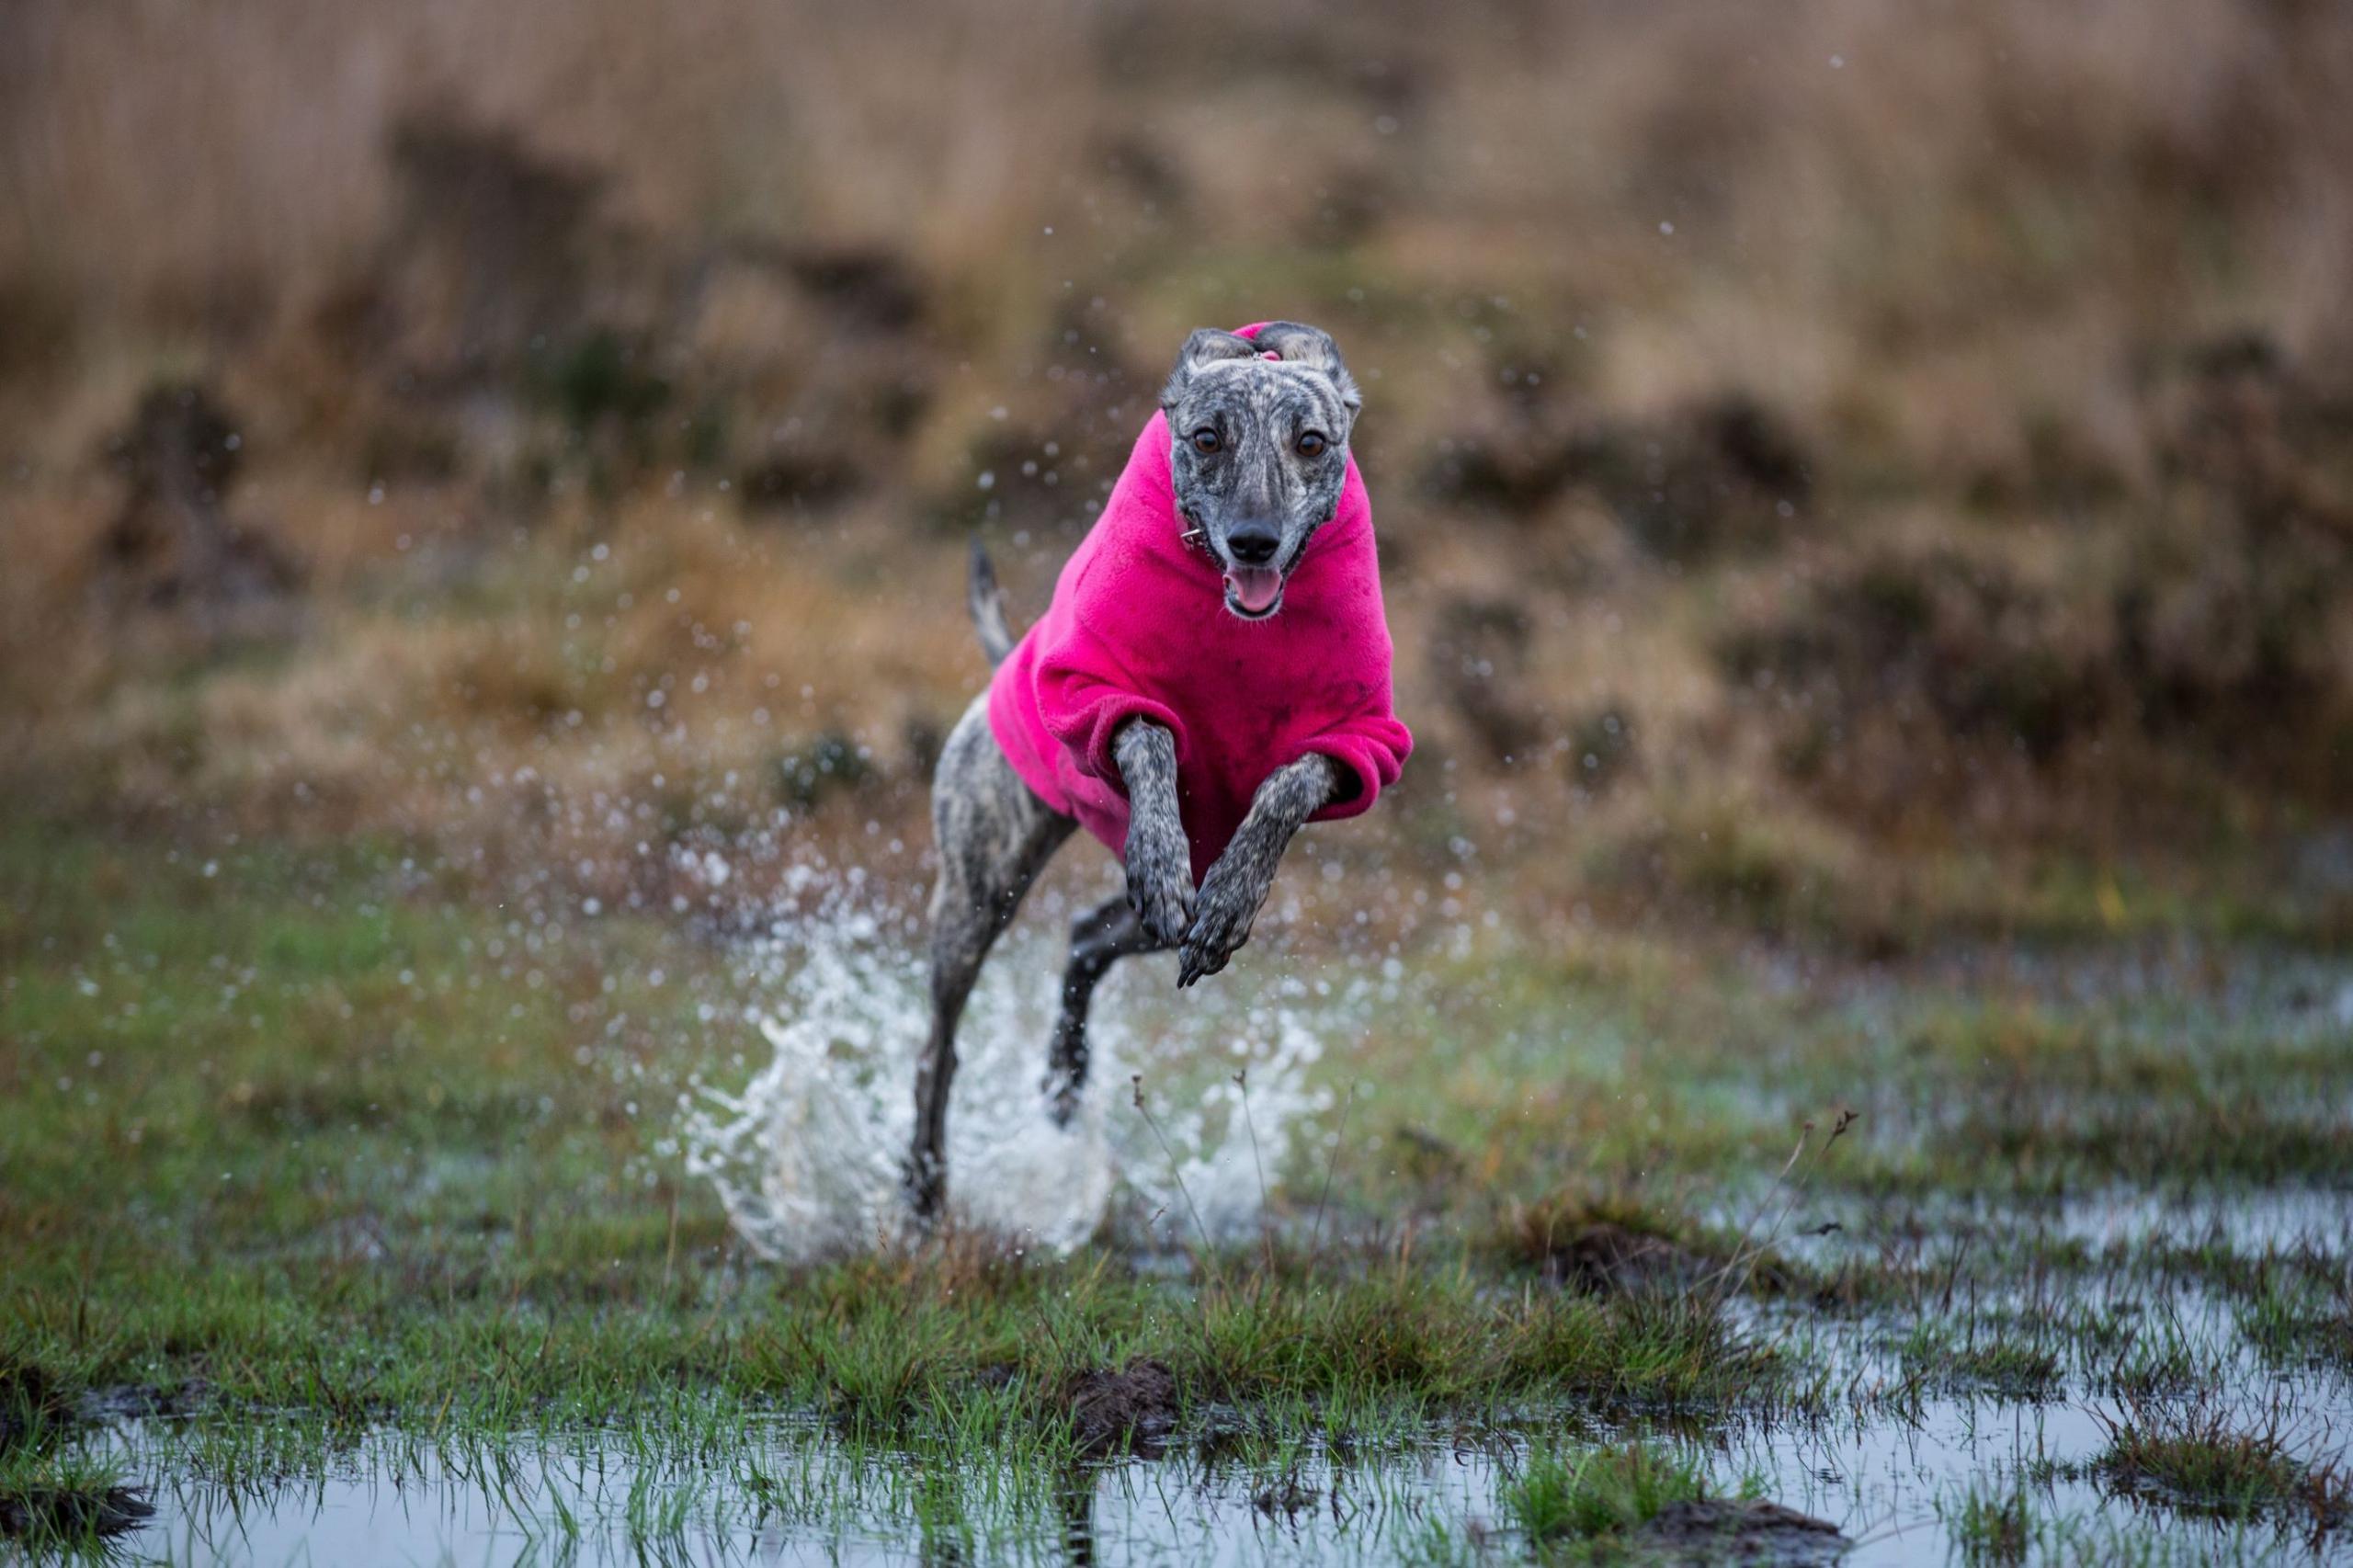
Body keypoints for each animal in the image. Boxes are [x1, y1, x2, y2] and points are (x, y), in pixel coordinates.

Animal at [908, 320, 1402, 1224]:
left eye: (1312, 442)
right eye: (1206, 437)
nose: (1254, 541)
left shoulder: (1363, 744)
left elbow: (1290, 785)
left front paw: (1235, 890)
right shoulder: (1098, 689)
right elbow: (1150, 737)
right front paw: (1162, 843)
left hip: (1135, 918)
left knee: (1089, 937)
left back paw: (1069, 1074)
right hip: (977, 889)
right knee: (940, 1048)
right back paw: (923, 1188)